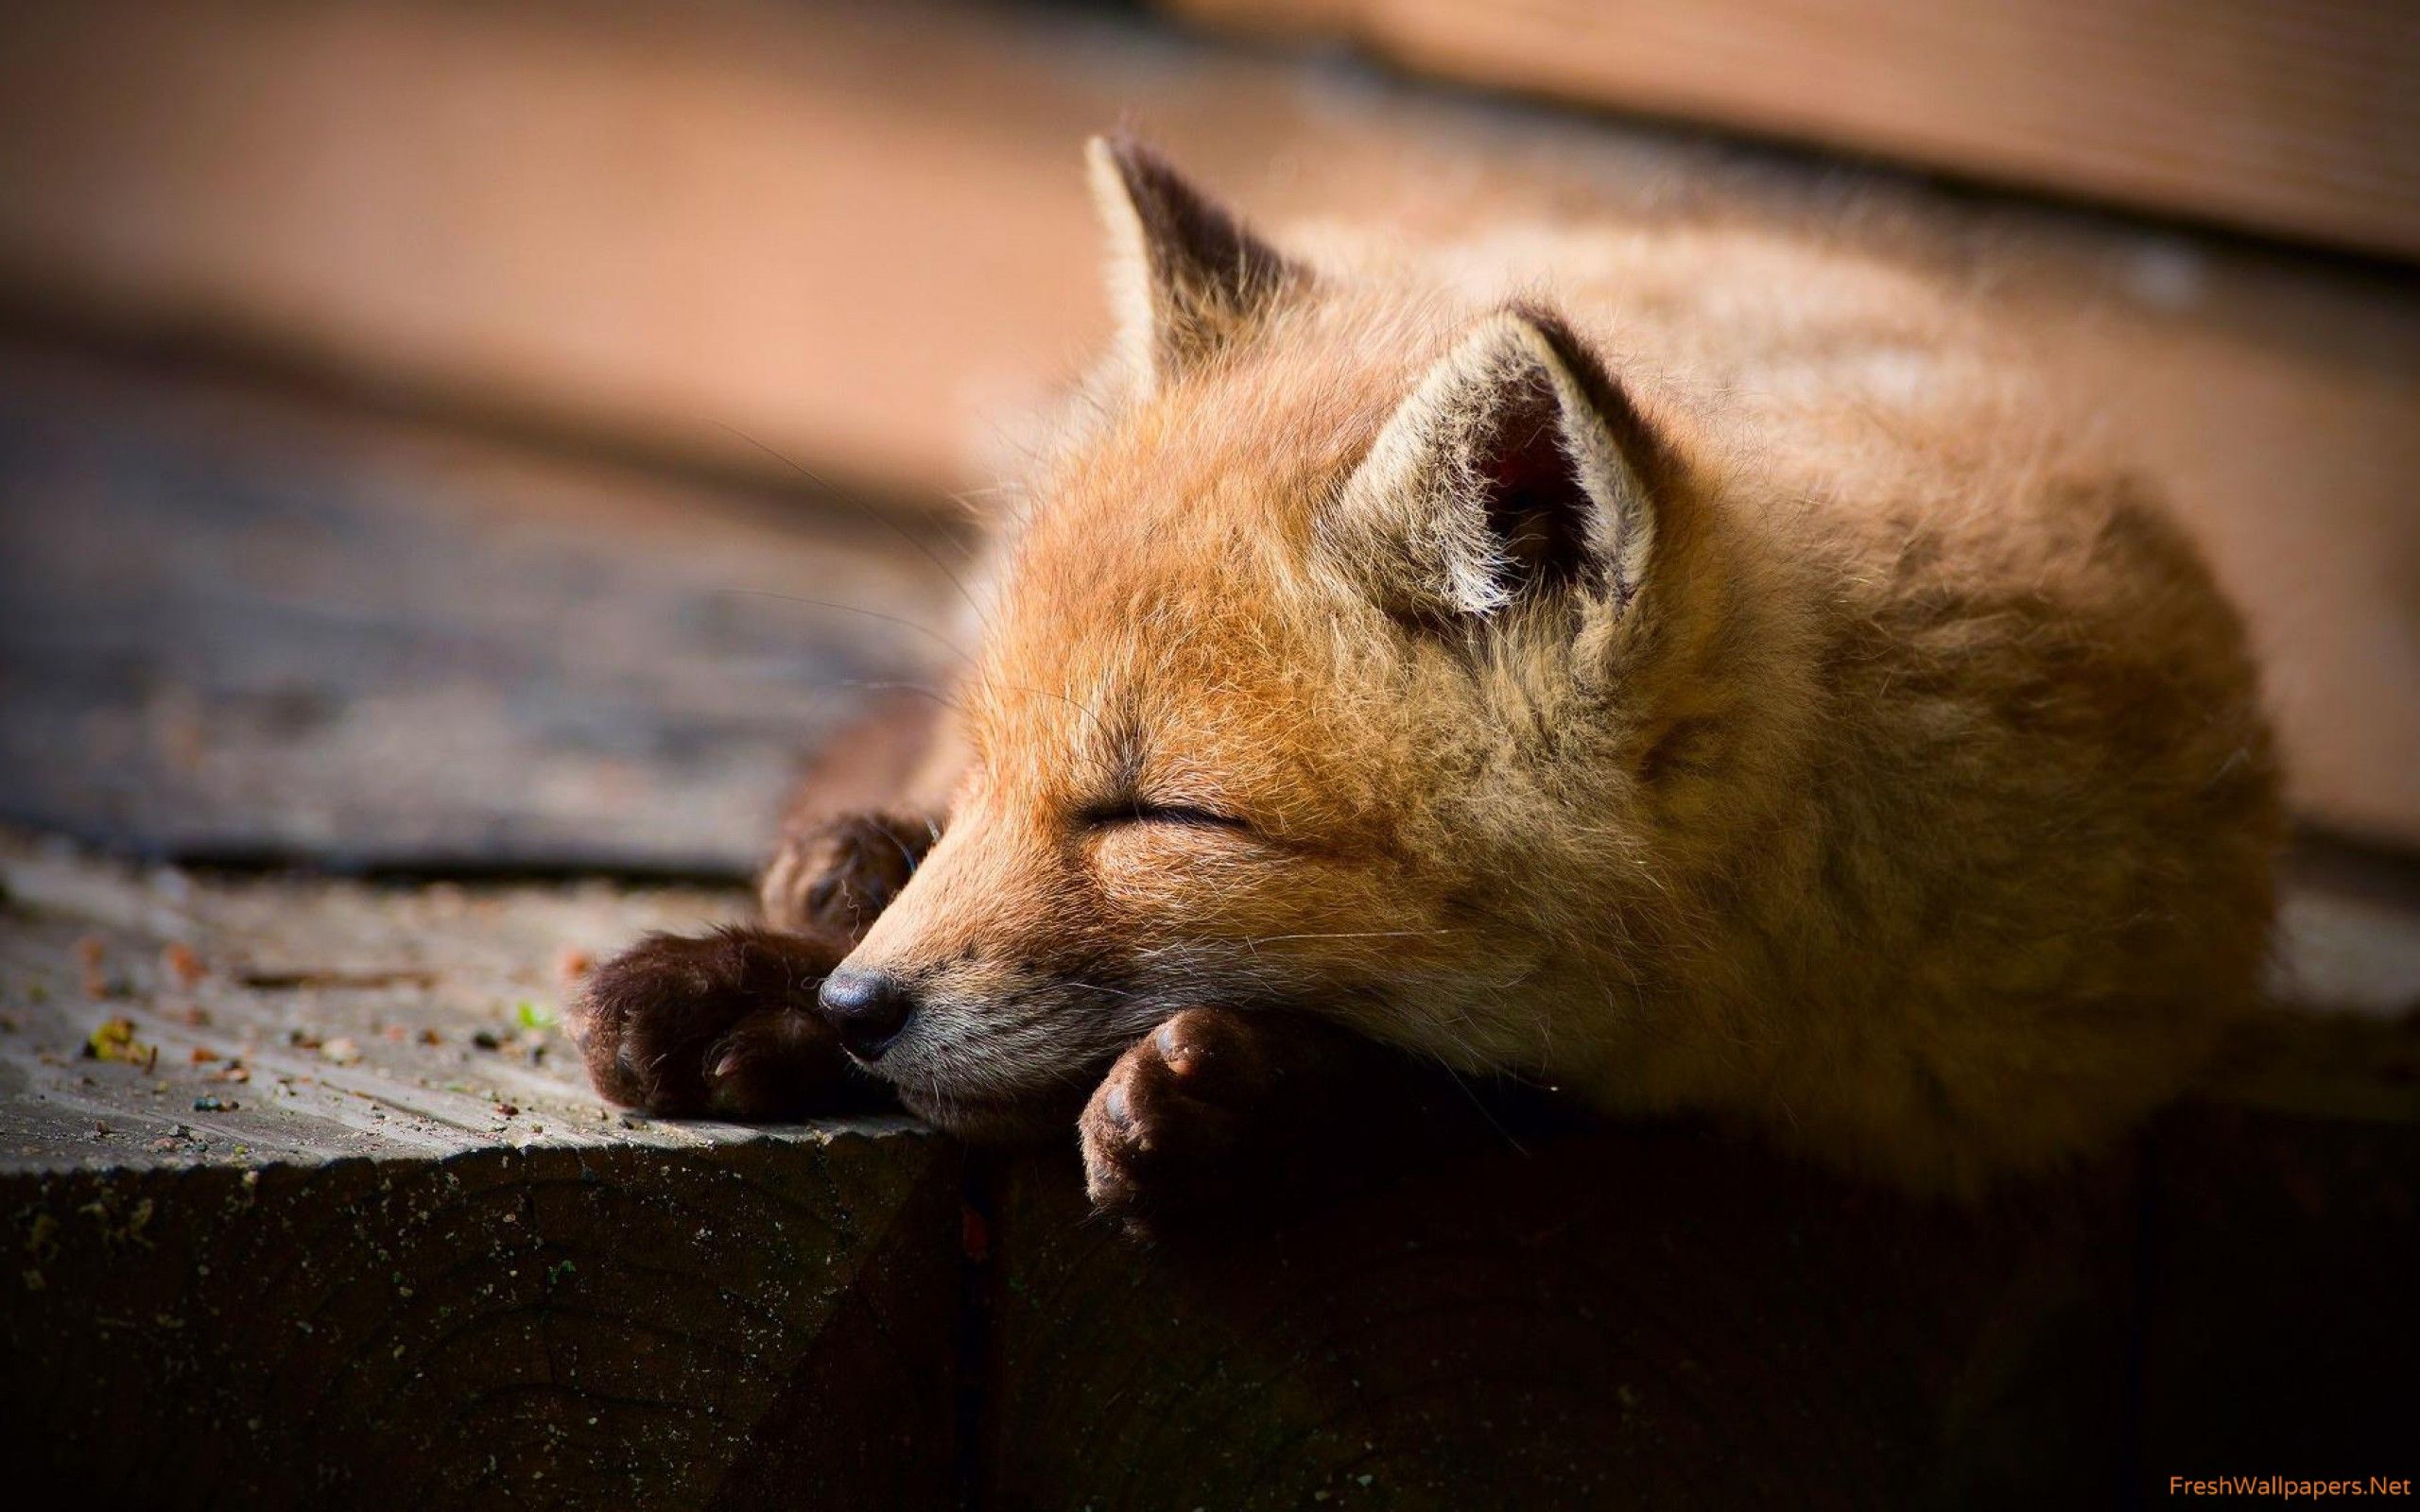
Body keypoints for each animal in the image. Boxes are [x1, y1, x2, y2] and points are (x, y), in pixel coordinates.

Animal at [572, 136, 2283, 1220]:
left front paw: (1248, 1105)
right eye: (1009, 772)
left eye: (1160, 817)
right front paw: (763, 980)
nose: (858, 1011)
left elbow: (1484, 1101)